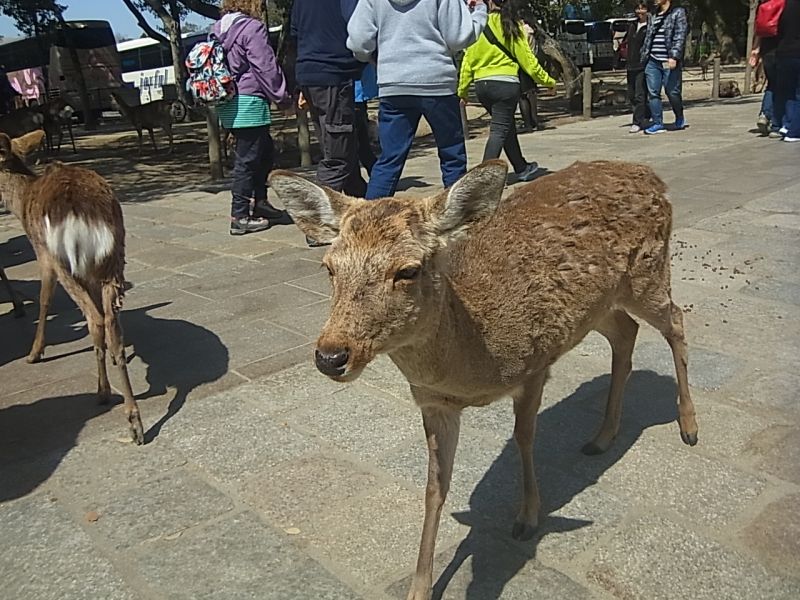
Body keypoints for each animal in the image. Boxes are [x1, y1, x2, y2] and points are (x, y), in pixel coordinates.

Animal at [0, 129, 145, 442]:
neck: (21, 201)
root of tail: (80, 213)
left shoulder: (42, 253)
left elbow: (44, 299)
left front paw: (34, 353)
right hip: (113, 257)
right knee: (111, 322)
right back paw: (133, 420)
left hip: (64, 260)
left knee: (95, 319)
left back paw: (103, 393)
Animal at [268, 158, 692, 600]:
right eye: (329, 268)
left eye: (408, 270)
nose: (331, 355)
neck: (473, 367)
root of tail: (647, 174)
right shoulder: (433, 402)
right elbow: (434, 487)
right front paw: (419, 587)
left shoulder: (536, 364)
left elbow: (524, 438)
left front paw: (527, 517)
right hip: (601, 304)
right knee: (626, 332)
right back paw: (603, 436)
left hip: (648, 273)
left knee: (676, 320)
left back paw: (688, 426)